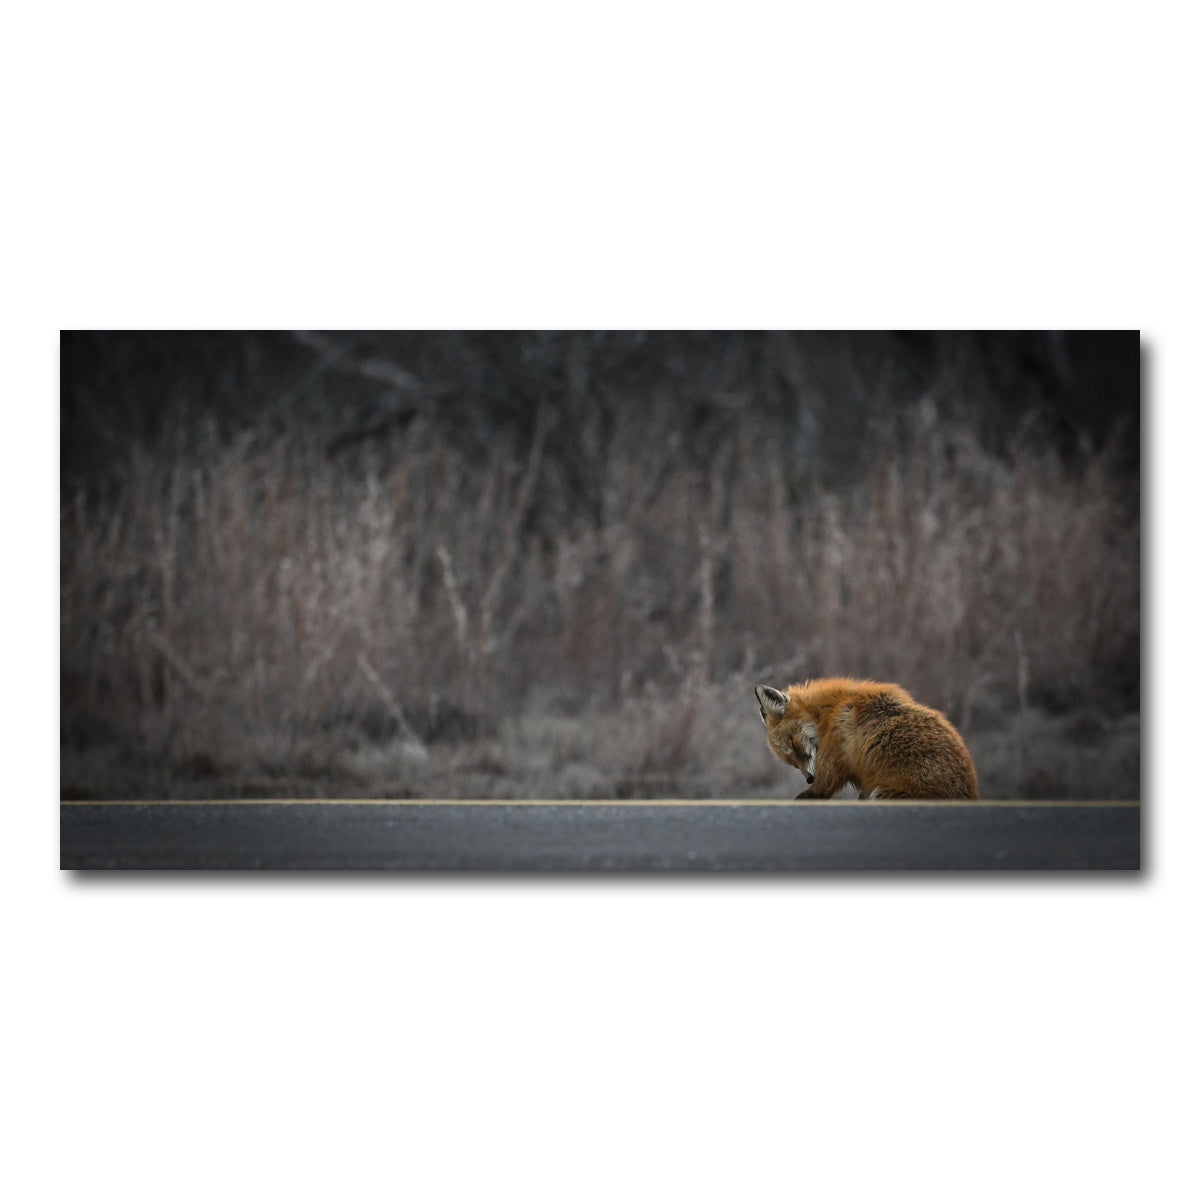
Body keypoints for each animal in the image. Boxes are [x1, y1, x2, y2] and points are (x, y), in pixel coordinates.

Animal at [754, 677, 980, 800]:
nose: (809, 778)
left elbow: (817, 789)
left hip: (881, 794)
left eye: (794, 744)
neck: (829, 710)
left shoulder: (832, 762)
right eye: (791, 761)